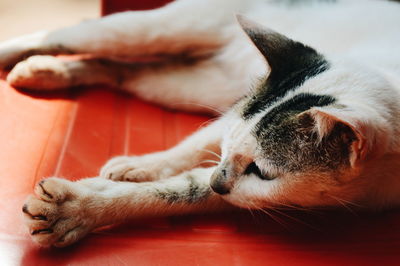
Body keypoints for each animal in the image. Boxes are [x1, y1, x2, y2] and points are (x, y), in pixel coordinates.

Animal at [0, 0, 400, 247]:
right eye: (229, 145)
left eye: (261, 172)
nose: (217, 181)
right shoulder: (229, 122)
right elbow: (191, 150)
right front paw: (142, 168)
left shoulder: (251, 192)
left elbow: (180, 191)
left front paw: (79, 208)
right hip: (155, 30)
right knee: (68, 35)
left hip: (190, 83)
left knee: (126, 71)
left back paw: (47, 73)